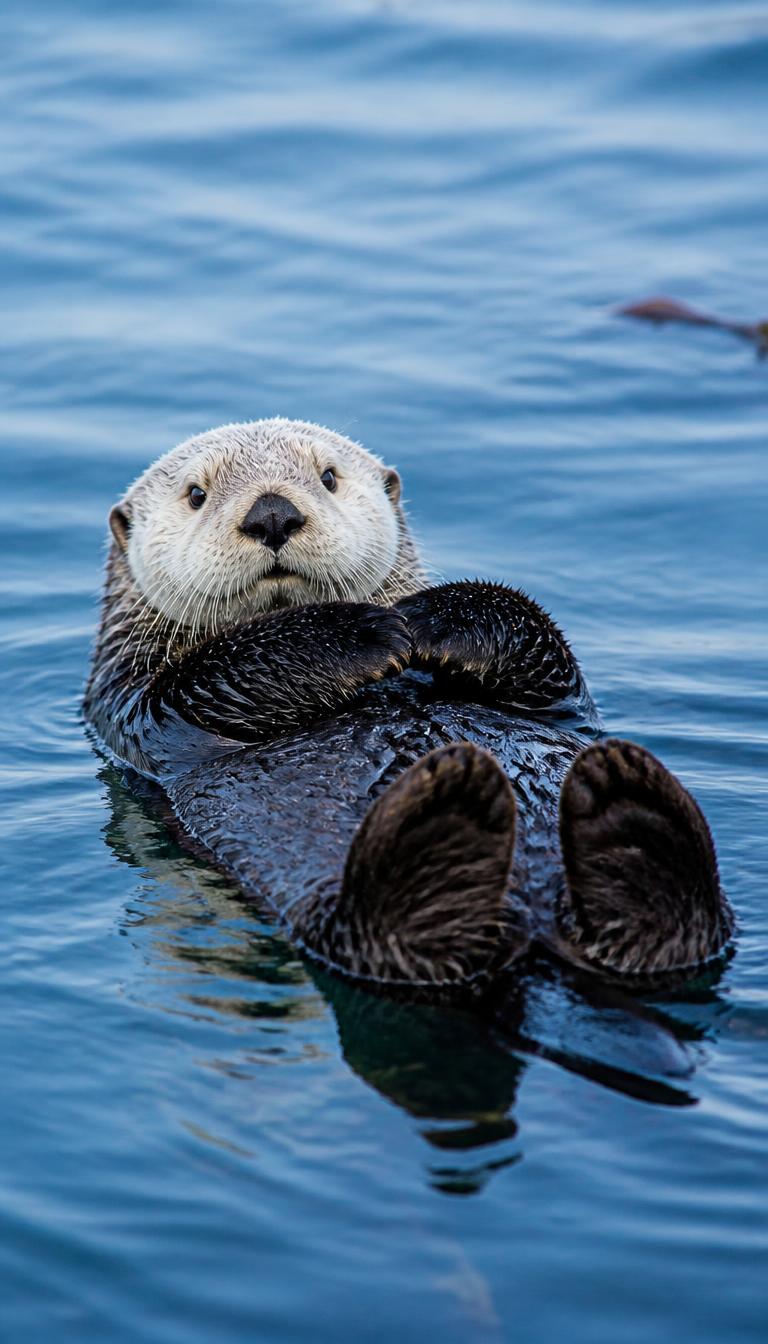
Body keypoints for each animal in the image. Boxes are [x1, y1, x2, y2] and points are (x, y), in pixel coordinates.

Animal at [84, 418, 734, 995]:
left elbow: (543, 649)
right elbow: (217, 674)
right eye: (196, 494)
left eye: (328, 477)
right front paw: (369, 630)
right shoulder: (133, 702)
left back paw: (623, 803)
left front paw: (429, 616)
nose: (271, 513)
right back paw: (459, 807)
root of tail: (533, 928)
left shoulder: (559, 697)